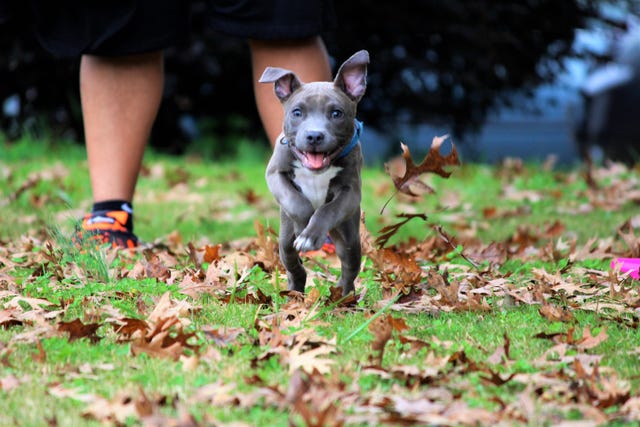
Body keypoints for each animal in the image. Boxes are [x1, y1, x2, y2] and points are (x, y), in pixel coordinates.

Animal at [258, 50, 368, 298]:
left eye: (336, 113)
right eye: (297, 112)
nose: (315, 136)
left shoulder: (350, 192)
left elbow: (328, 209)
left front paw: (310, 233)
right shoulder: (275, 174)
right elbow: (297, 202)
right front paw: (304, 227)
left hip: (349, 236)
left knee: (349, 266)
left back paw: (344, 295)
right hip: (284, 238)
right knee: (292, 261)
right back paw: (295, 288)